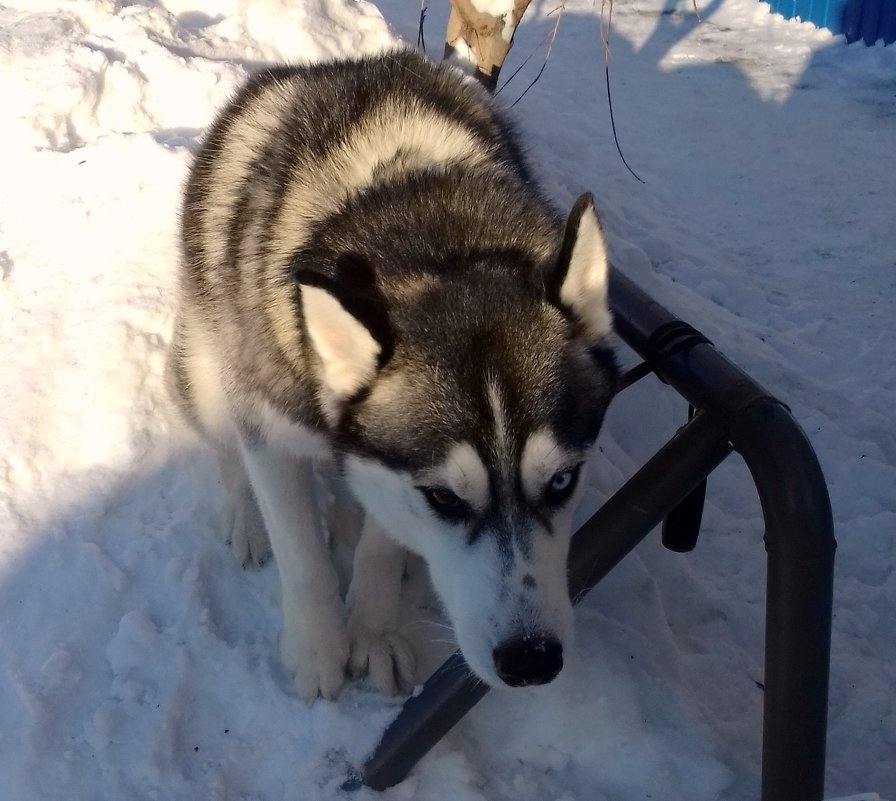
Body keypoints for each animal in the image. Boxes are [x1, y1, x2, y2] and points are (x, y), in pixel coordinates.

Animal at [170, 50, 616, 700]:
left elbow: (381, 544)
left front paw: (373, 630)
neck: (432, 227)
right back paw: (247, 516)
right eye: (445, 498)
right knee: (227, 449)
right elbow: (301, 555)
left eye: (562, 482)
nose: (532, 660)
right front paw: (318, 649)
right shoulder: (268, 424)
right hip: (204, 367)